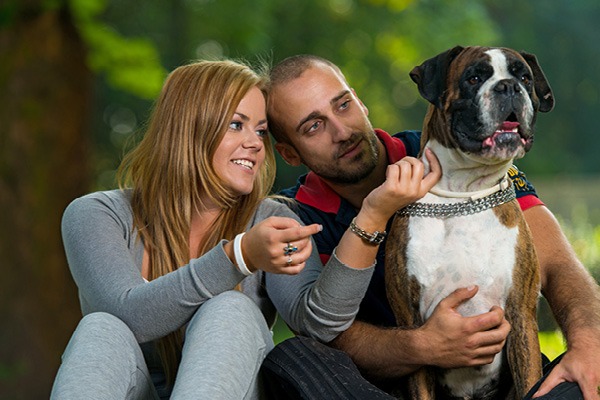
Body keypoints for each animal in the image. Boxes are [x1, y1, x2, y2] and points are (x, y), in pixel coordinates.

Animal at [386, 45, 556, 398]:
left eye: (524, 77)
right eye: (474, 78)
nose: (508, 87)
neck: (463, 195)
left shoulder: (521, 318)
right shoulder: (412, 329)